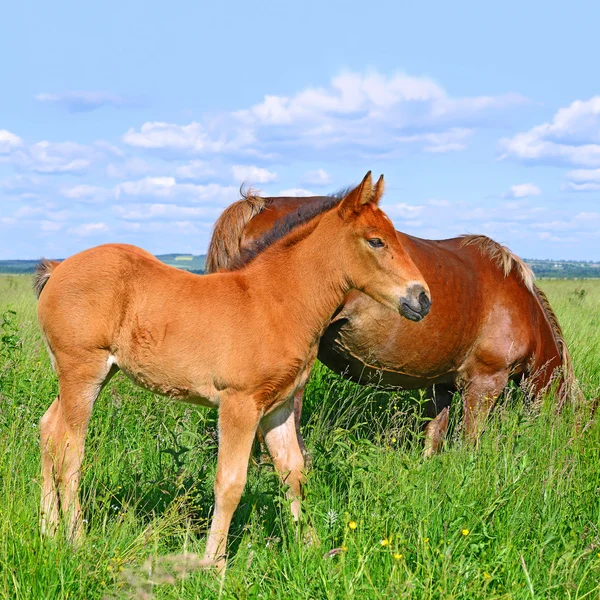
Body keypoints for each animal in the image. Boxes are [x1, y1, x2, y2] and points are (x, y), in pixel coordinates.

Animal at [35, 172, 432, 568]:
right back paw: (75, 539)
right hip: (83, 371)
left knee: (49, 430)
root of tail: (57, 269)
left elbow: (293, 474)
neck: (276, 302)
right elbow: (230, 482)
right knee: (70, 451)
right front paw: (213, 563)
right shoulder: (240, 404)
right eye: (376, 240)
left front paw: (312, 550)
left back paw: (48, 531)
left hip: (90, 375)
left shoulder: (278, 407)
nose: (422, 299)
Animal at [206, 185, 576, 458]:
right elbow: (470, 442)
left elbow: (435, 435)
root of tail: (259, 205)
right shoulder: (485, 383)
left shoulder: (440, 383)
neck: (521, 304)